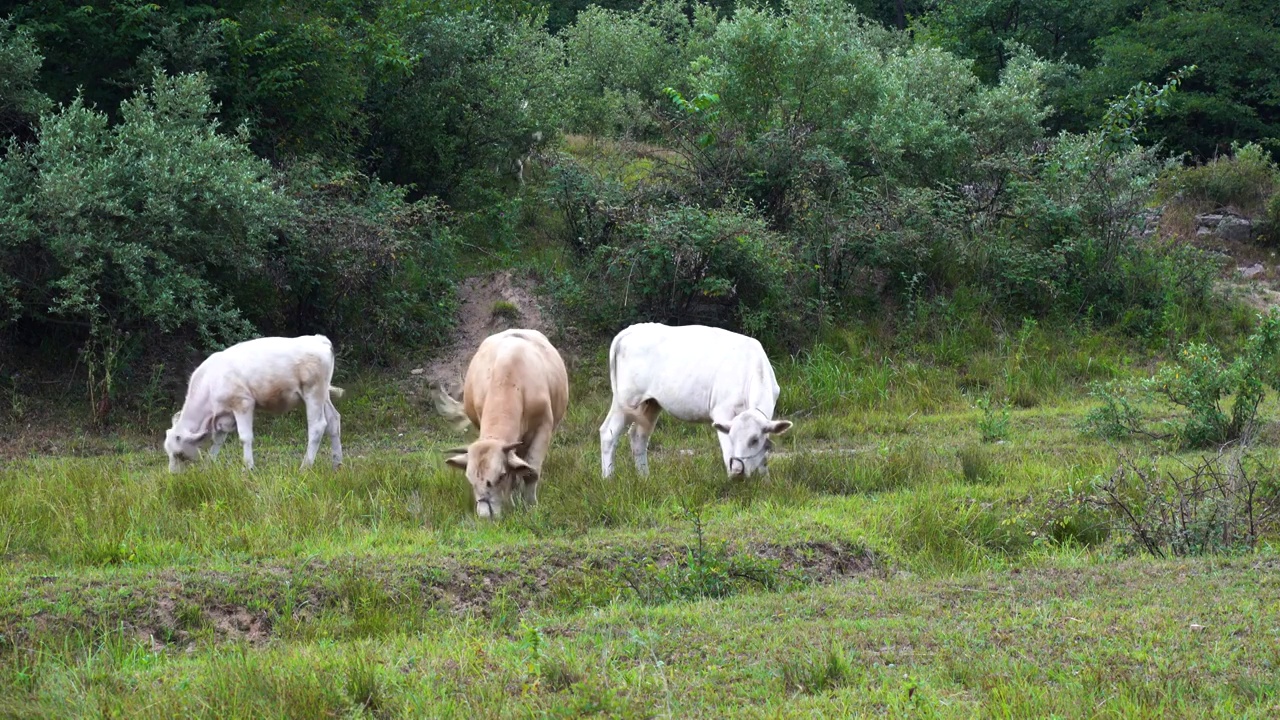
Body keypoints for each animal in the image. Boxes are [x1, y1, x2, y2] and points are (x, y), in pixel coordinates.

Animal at [165, 335, 345, 471]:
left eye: (179, 454)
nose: (173, 475)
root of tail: (318, 339)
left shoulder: (242, 403)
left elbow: (245, 437)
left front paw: (248, 468)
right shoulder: (225, 415)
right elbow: (218, 440)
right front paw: (211, 464)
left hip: (313, 393)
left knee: (317, 426)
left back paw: (305, 467)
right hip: (323, 395)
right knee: (333, 420)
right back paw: (337, 464)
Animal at [435, 327, 565, 517]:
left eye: (501, 475)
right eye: (470, 480)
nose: (484, 514)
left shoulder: (543, 428)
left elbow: (531, 472)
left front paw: (531, 506)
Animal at [599, 324, 788, 476]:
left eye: (754, 440)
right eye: (733, 437)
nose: (738, 470)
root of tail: (633, 328)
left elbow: (763, 457)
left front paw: (765, 482)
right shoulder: (722, 412)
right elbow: (728, 452)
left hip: (651, 402)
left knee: (638, 436)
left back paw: (644, 478)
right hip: (625, 400)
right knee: (608, 433)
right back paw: (608, 479)